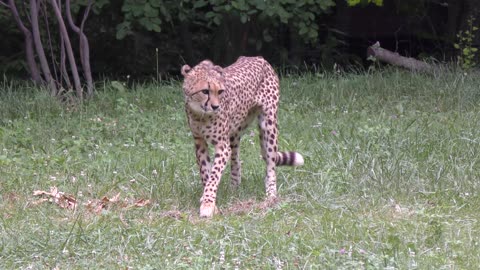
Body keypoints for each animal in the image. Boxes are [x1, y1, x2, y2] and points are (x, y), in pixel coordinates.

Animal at [181, 56, 304, 217]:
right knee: (236, 160)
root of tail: (258, 57)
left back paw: (271, 195)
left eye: (220, 91)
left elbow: (213, 177)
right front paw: (210, 202)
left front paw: (207, 204)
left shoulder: (222, 145)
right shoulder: (199, 142)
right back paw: (234, 187)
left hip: (268, 124)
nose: (215, 106)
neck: (200, 115)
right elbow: (206, 174)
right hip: (235, 131)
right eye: (205, 91)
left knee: (271, 164)